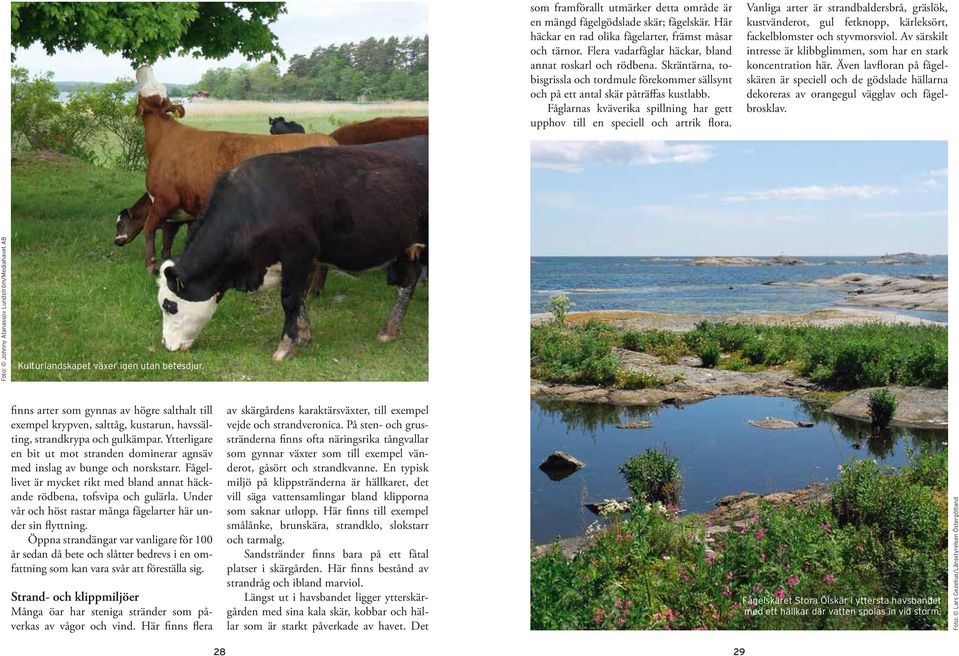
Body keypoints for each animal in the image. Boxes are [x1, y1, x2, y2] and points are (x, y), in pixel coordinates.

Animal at [135, 66, 338, 272]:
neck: (163, 139)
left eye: (142, 95)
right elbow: (169, 236)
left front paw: (150, 264)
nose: (144, 67)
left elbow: (149, 227)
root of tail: (327, 139)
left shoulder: (164, 198)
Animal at [158, 134, 428, 358]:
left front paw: (285, 347)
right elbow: (299, 300)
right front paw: (304, 336)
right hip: (410, 246)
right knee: (408, 281)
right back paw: (390, 330)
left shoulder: (298, 254)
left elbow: (289, 299)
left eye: (170, 306)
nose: (165, 345)